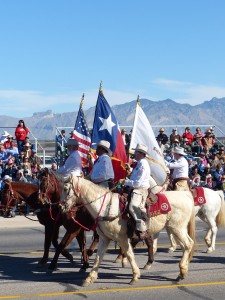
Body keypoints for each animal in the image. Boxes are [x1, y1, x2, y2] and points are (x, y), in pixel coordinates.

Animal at [62, 176, 195, 286]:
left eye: (65, 188)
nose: (61, 206)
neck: (106, 207)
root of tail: (186, 195)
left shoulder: (122, 239)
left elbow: (130, 254)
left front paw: (135, 276)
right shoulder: (105, 238)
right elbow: (98, 257)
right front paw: (89, 278)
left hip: (177, 228)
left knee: (188, 245)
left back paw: (182, 271)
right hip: (175, 228)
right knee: (186, 245)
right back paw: (182, 271)